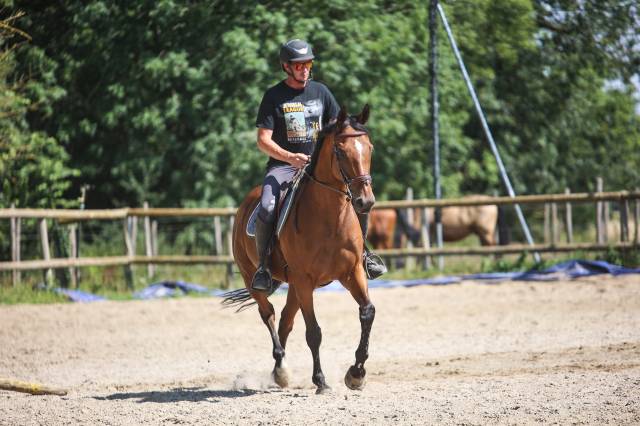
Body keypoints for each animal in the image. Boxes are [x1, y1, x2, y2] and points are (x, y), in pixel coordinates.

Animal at [225, 105, 377, 394]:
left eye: (369, 148)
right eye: (341, 151)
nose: (365, 201)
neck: (330, 219)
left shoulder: (352, 272)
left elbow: (367, 313)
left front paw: (356, 373)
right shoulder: (305, 280)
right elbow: (314, 332)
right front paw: (321, 381)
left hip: (295, 285)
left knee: (285, 320)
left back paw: (279, 372)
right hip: (256, 278)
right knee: (269, 314)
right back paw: (282, 368)